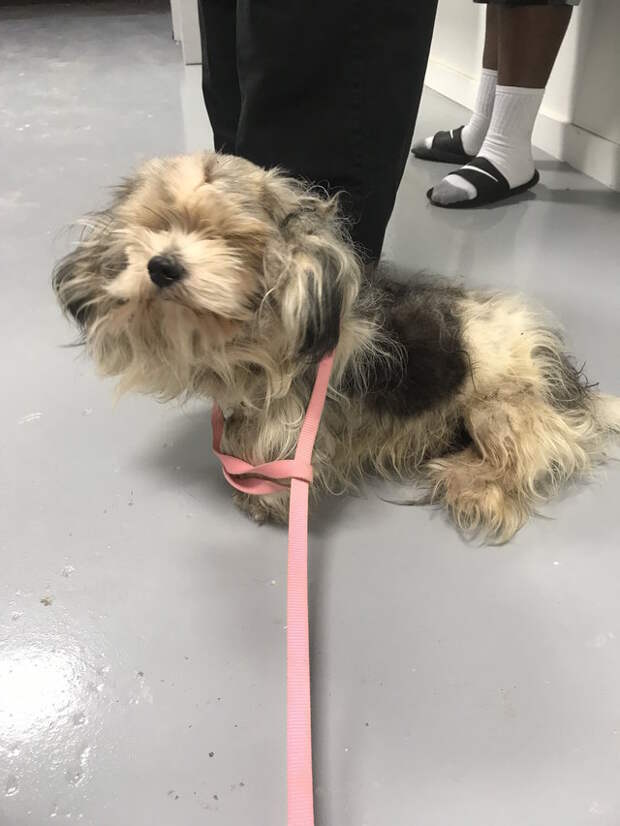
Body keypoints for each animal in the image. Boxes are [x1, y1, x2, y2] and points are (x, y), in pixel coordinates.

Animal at [53, 152, 620, 542]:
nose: (162, 266)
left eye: (231, 239)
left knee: (541, 453)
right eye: (153, 225)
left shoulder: (295, 420)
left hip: (501, 403)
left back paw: (473, 482)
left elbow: (278, 456)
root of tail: (565, 378)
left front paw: (266, 502)